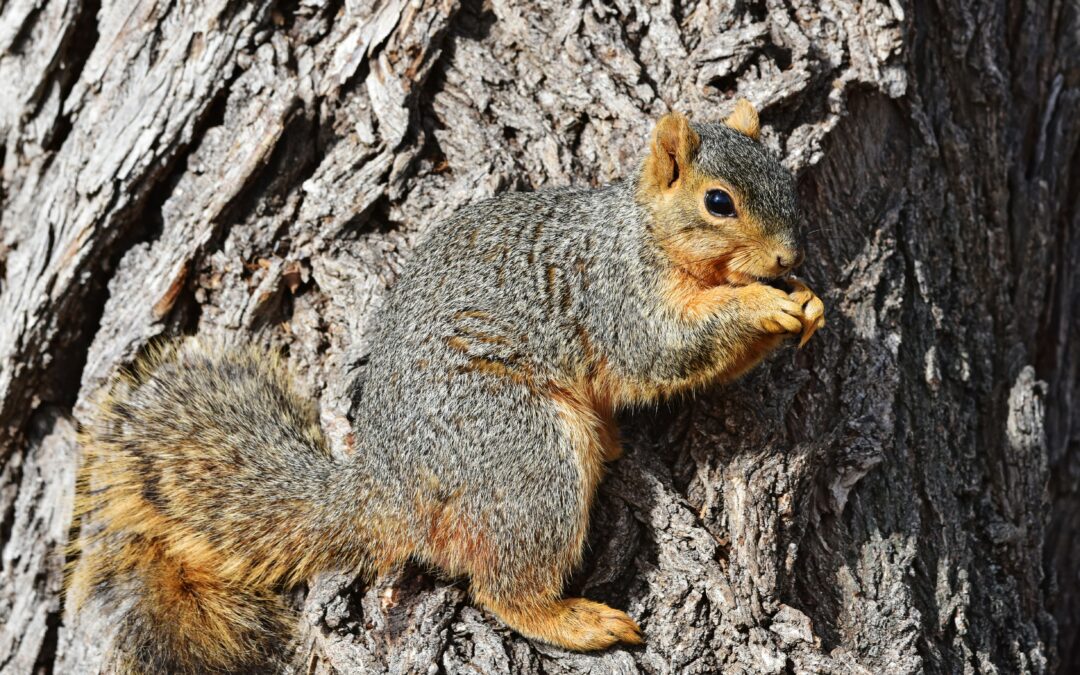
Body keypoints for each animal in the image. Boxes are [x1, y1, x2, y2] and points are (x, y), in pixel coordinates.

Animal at [69, 100, 825, 673]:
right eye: (718, 202)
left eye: (789, 185)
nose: (790, 257)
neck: (644, 236)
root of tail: (391, 493)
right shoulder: (618, 296)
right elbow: (666, 352)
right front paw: (763, 304)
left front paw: (808, 302)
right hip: (521, 453)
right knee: (506, 586)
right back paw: (576, 620)